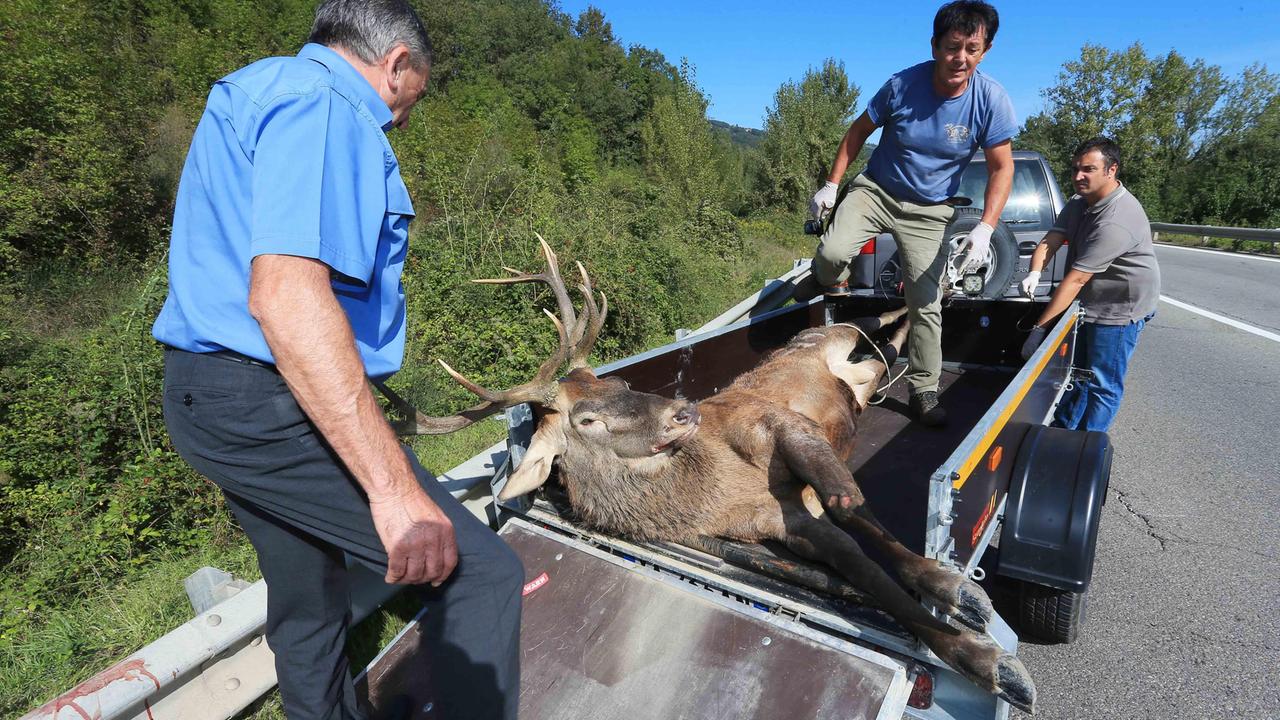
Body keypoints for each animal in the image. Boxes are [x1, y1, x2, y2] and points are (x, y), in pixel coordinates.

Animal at [384, 239, 1036, 712]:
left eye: (617, 380)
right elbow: (849, 564)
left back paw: (938, 295)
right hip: (859, 368)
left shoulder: (776, 423)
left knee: (881, 316)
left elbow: (849, 504)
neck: (713, 486)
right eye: (586, 418)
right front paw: (979, 651)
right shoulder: (778, 522)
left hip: (837, 333)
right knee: (882, 352)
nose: (685, 412)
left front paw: (966, 608)